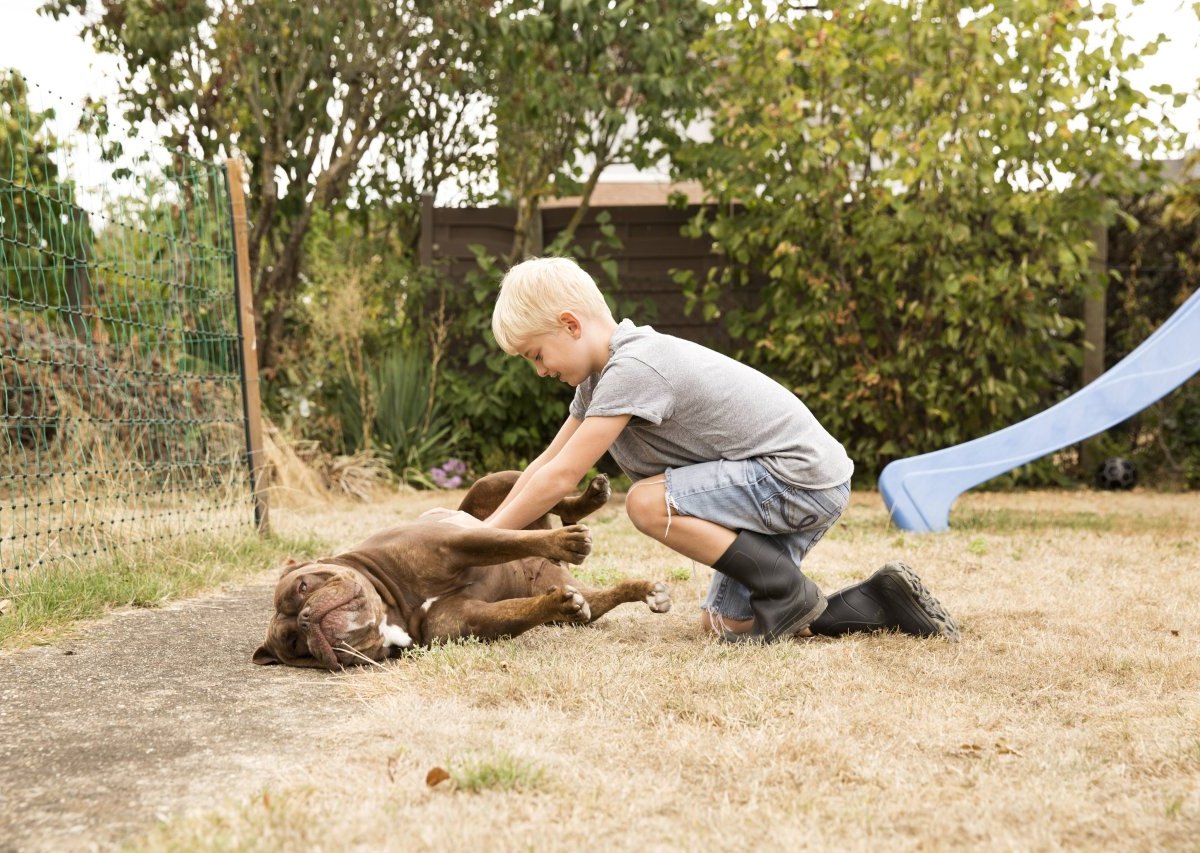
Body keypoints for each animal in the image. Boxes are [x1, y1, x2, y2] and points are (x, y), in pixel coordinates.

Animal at [252, 470, 672, 671]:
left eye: (302, 587)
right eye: (296, 644)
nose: (306, 620)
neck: (393, 611)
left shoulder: (454, 543)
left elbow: (507, 542)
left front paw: (564, 541)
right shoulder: (471, 621)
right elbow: (518, 611)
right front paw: (557, 604)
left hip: (494, 483)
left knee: (545, 495)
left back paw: (586, 504)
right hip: (574, 594)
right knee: (596, 600)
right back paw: (645, 590)